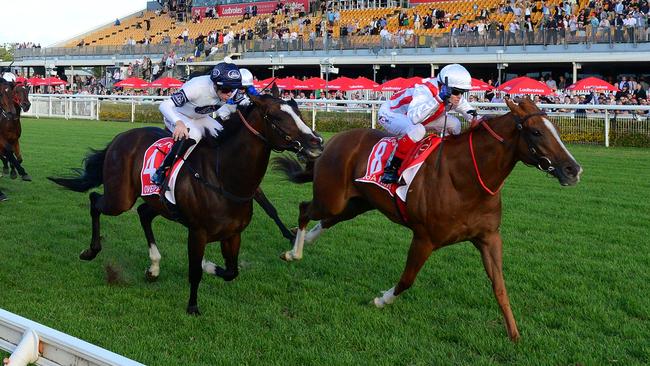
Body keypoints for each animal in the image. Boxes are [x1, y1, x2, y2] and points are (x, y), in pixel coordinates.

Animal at [48, 92, 322, 314]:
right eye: (277, 117)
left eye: (298, 110)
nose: (316, 142)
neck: (224, 176)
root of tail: (121, 137)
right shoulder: (197, 232)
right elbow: (195, 271)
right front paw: (192, 305)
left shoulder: (233, 234)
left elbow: (231, 272)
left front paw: (209, 265)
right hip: (120, 199)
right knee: (95, 201)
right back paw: (91, 251)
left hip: (158, 203)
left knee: (143, 212)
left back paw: (154, 267)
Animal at [274, 97, 584, 340]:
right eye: (536, 132)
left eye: (555, 129)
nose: (574, 169)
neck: (465, 178)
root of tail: (332, 140)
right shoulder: (424, 238)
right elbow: (407, 280)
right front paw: (381, 299)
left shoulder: (489, 238)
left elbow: (499, 287)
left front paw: (514, 333)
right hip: (333, 198)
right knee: (304, 209)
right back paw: (293, 252)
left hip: (357, 203)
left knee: (326, 220)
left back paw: (304, 243)